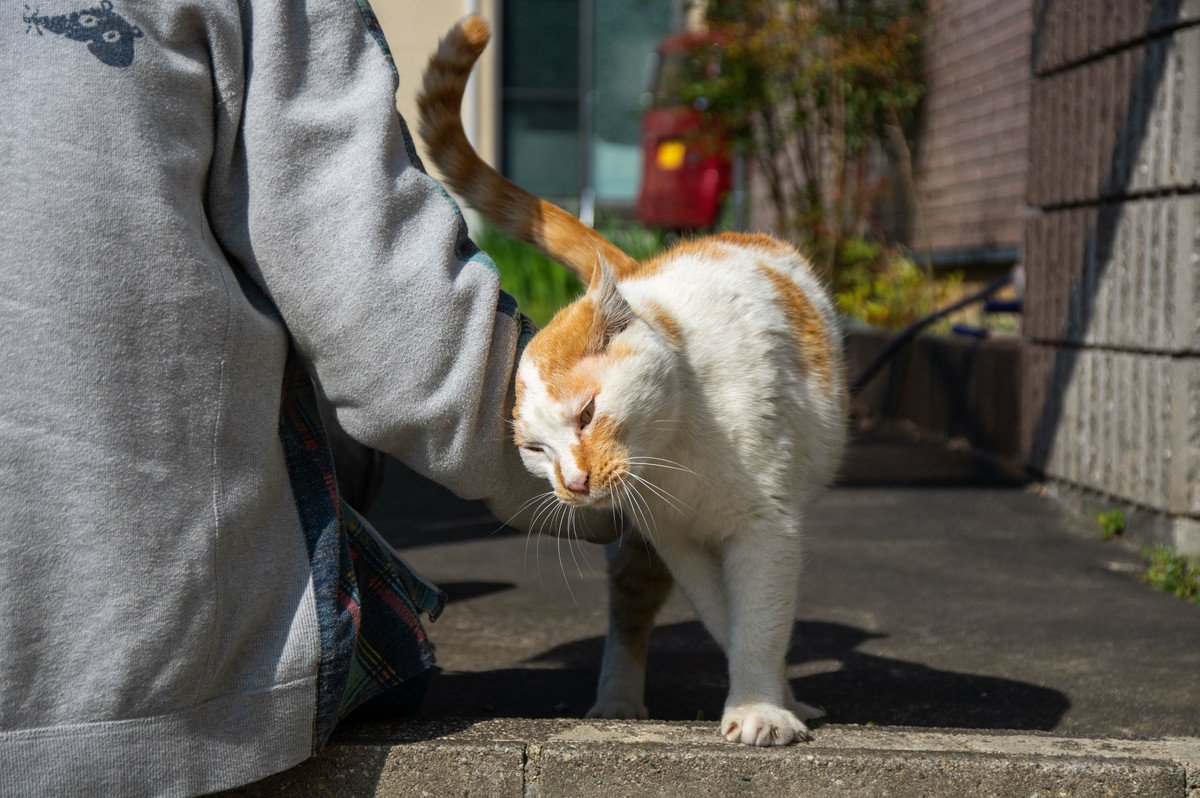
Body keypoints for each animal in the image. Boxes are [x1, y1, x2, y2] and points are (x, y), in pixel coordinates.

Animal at [417, 15, 849, 744]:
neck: (679, 449)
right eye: (535, 450)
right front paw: (765, 699)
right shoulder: (676, 539)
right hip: (638, 549)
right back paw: (620, 702)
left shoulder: (766, 525)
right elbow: (728, 620)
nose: (574, 483)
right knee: (630, 612)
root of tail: (644, 266)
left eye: (588, 414)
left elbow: (761, 619)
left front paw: (764, 710)